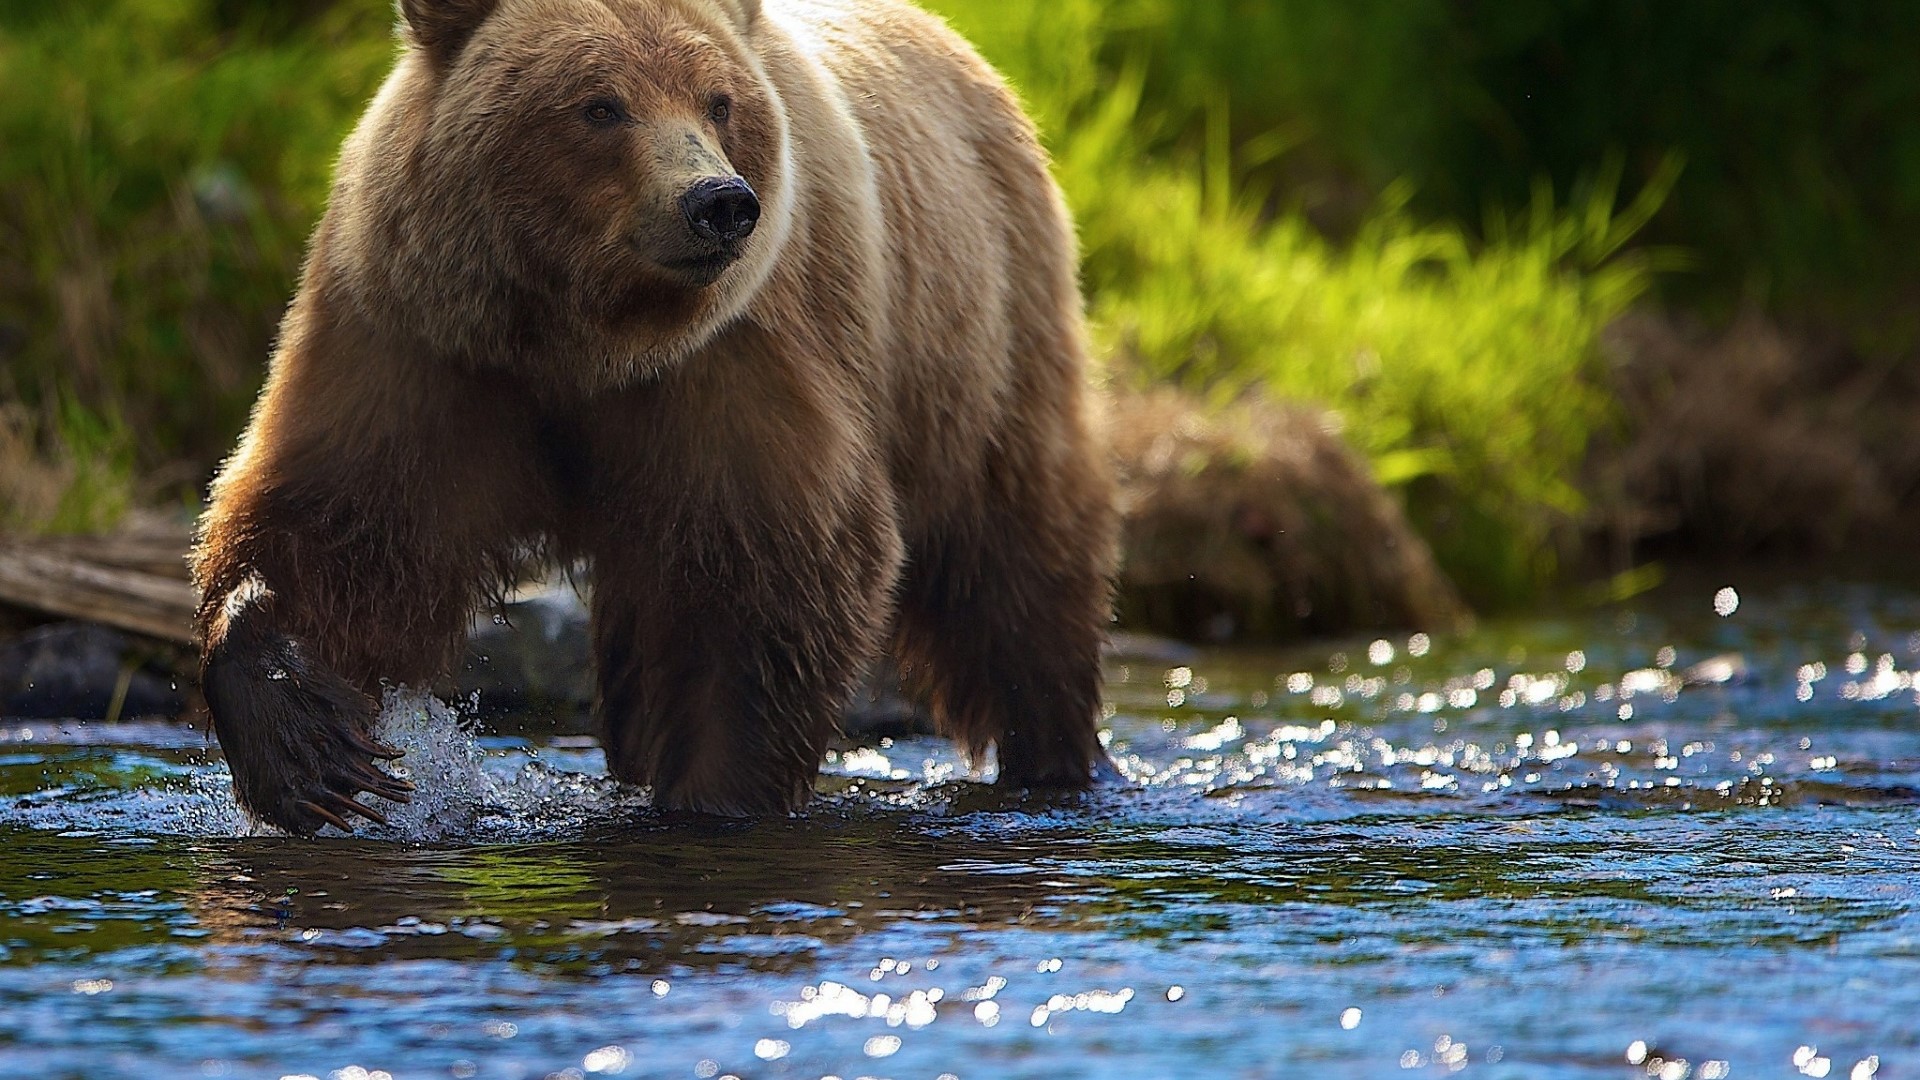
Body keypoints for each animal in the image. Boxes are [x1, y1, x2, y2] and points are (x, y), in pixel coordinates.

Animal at [190, 0, 1118, 835]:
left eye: (719, 101)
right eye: (601, 104)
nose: (718, 202)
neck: (581, 339)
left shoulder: (731, 362)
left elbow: (767, 579)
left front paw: (716, 795)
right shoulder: (427, 343)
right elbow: (344, 522)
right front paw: (309, 742)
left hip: (981, 344)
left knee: (1016, 563)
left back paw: (1058, 757)